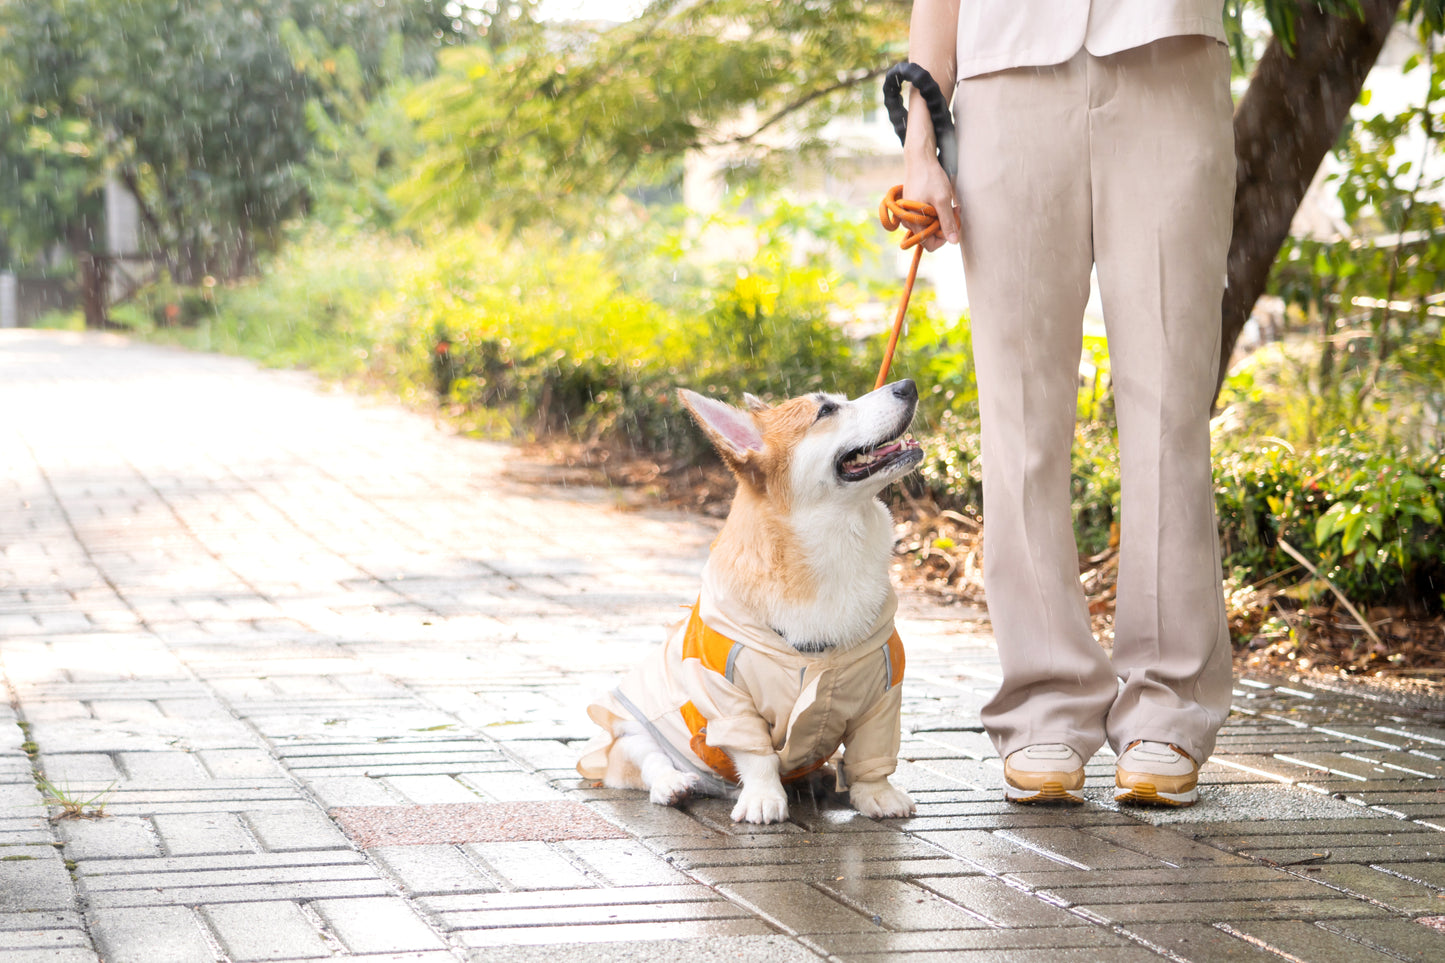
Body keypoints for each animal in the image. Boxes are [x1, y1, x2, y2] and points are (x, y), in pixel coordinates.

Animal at [578, 378, 924, 821]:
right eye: (826, 411)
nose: (908, 385)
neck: (834, 545)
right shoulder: (725, 694)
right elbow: (755, 752)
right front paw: (763, 798)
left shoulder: (882, 691)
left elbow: (872, 752)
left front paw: (877, 794)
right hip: (632, 723)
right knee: (646, 757)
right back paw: (674, 784)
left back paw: (822, 775)